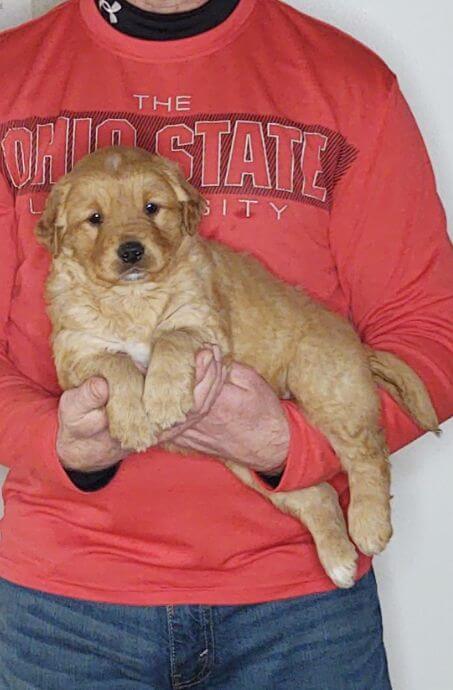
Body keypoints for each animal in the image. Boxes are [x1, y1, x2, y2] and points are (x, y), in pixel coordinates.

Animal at [35, 145, 438, 584]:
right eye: (95, 218)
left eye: (151, 207)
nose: (131, 251)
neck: (133, 296)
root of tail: (358, 347)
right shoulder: (74, 352)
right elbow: (117, 363)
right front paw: (134, 421)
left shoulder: (206, 325)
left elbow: (170, 338)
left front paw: (162, 400)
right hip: (248, 462)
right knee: (317, 493)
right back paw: (339, 559)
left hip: (322, 379)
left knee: (368, 452)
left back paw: (369, 526)